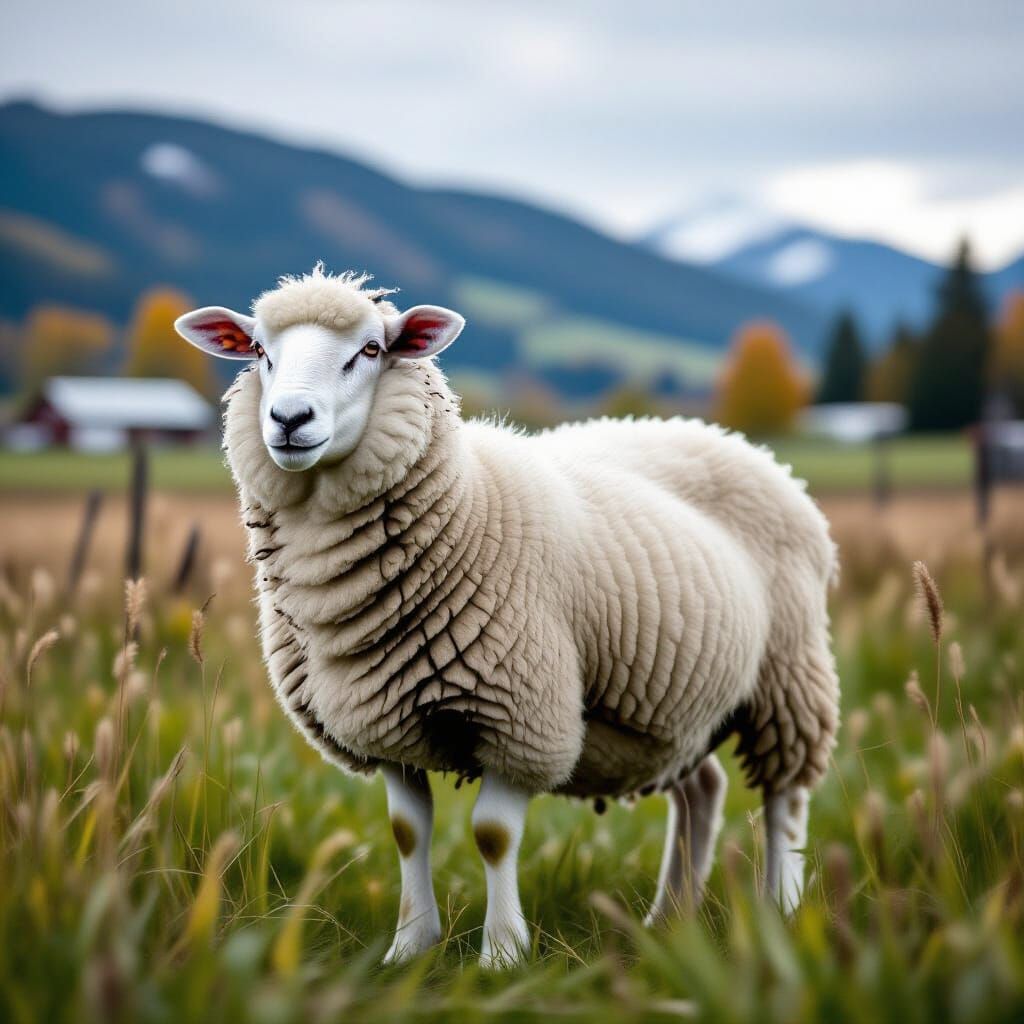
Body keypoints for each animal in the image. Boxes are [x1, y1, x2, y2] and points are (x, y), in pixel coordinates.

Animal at [175, 266, 840, 967]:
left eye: (372, 350)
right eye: (259, 352)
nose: (288, 419)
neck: (465, 498)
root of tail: (730, 439)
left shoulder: (521, 716)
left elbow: (493, 836)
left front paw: (501, 955)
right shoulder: (383, 717)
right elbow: (407, 832)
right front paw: (410, 948)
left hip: (789, 676)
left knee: (786, 797)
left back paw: (782, 908)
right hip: (674, 705)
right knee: (703, 790)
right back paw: (669, 920)